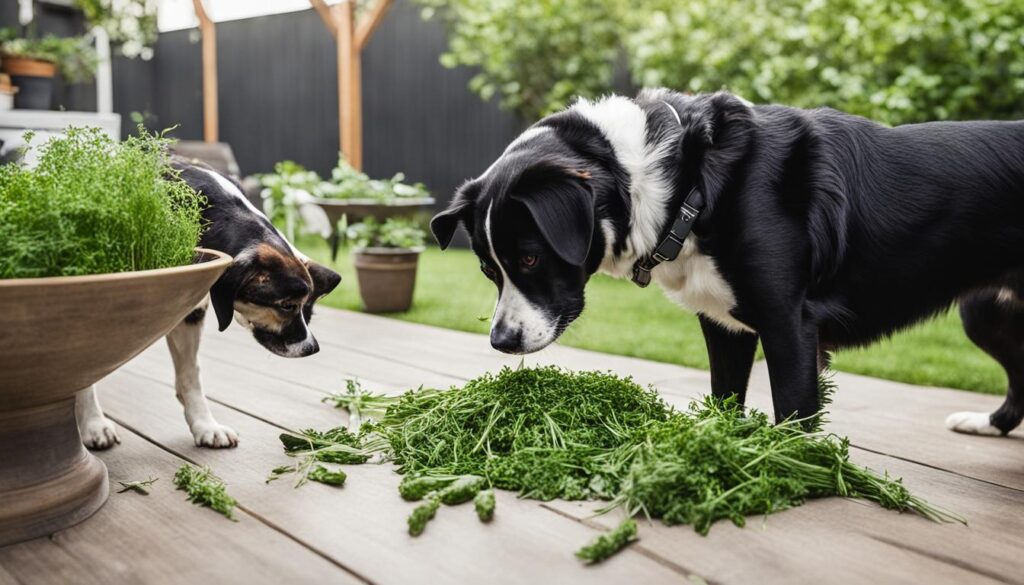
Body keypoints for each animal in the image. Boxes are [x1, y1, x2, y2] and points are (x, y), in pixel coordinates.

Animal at [74, 158, 344, 448]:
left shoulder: (190, 309)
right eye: (286, 306)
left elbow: (190, 376)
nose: (312, 348)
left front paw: (205, 425)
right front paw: (93, 423)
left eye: (309, 311)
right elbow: (83, 374)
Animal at [430, 88, 1024, 434]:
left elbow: (793, 415)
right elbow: (725, 400)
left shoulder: (789, 324)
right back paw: (987, 423)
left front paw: (789, 472)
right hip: (985, 312)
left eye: (530, 259)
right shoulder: (724, 325)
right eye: (488, 269)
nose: (500, 342)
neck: (684, 180)